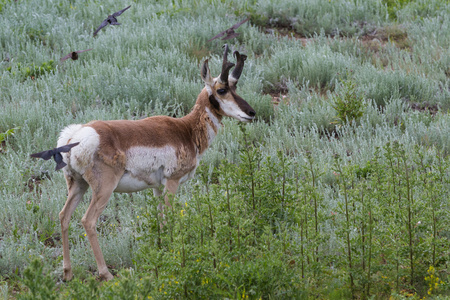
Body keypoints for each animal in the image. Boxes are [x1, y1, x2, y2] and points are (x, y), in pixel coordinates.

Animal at [53, 44, 253, 282]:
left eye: (236, 86)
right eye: (221, 90)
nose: (251, 113)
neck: (186, 130)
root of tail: (74, 136)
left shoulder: (157, 188)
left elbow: (159, 219)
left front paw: (160, 251)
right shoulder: (172, 183)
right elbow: (169, 219)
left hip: (77, 185)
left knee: (64, 216)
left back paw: (67, 273)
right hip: (103, 190)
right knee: (88, 221)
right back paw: (106, 274)